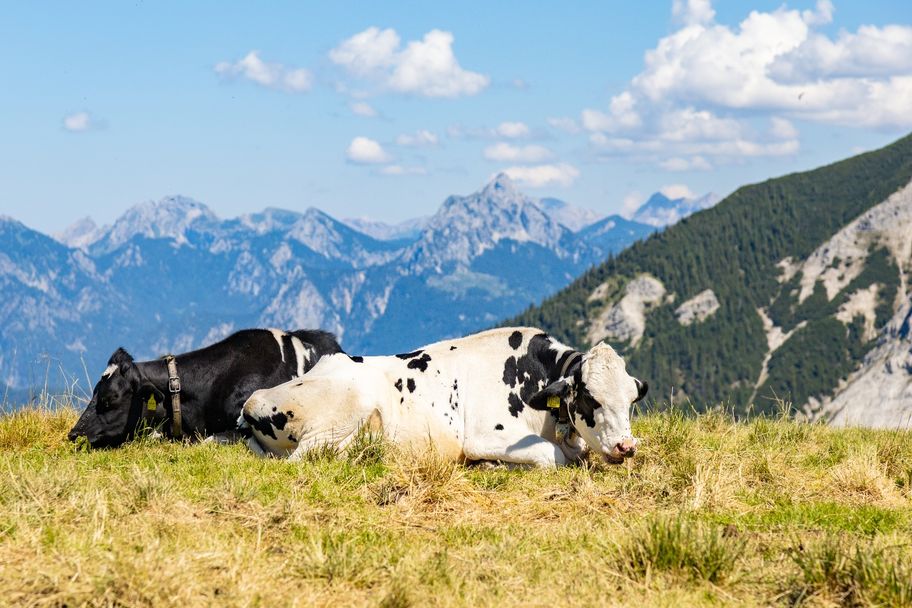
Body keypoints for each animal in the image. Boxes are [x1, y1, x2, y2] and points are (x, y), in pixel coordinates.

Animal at [241, 327, 648, 467]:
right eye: (590, 399)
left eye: (631, 401)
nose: (626, 447)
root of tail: (253, 402)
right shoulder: (486, 435)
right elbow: (554, 457)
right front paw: (492, 465)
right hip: (343, 411)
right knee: (304, 458)